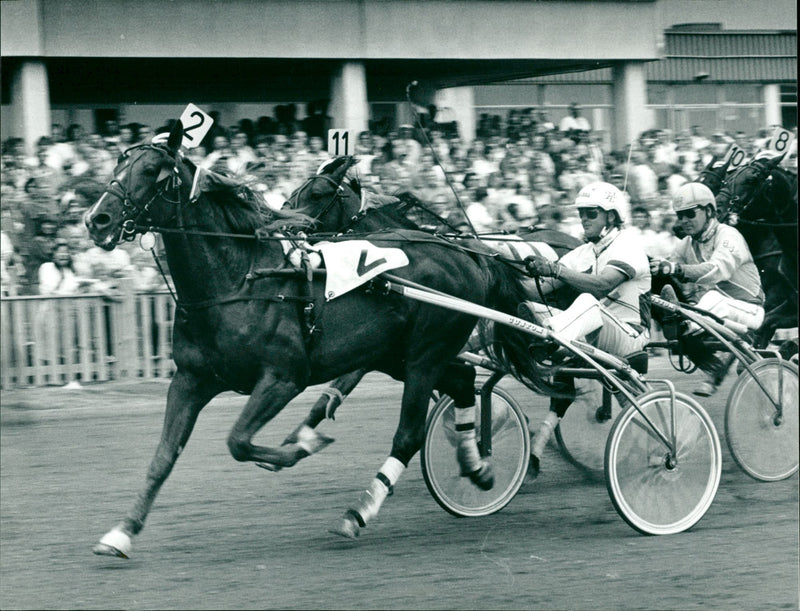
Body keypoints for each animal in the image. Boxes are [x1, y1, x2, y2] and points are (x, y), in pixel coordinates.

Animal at [84, 122, 564, 556]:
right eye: (118, 163)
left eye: (151, 171)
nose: (96, 219)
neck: (237, 280)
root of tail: (469, 255)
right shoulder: (190, 379)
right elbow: (164, 456)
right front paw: (121, 532)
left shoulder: (283, 377)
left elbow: (238, 441)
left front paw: (303, 444)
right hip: (401, 356)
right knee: (464, 382)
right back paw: (477, 466)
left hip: (424, 356)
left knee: (409, 434)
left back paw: (358, 513)